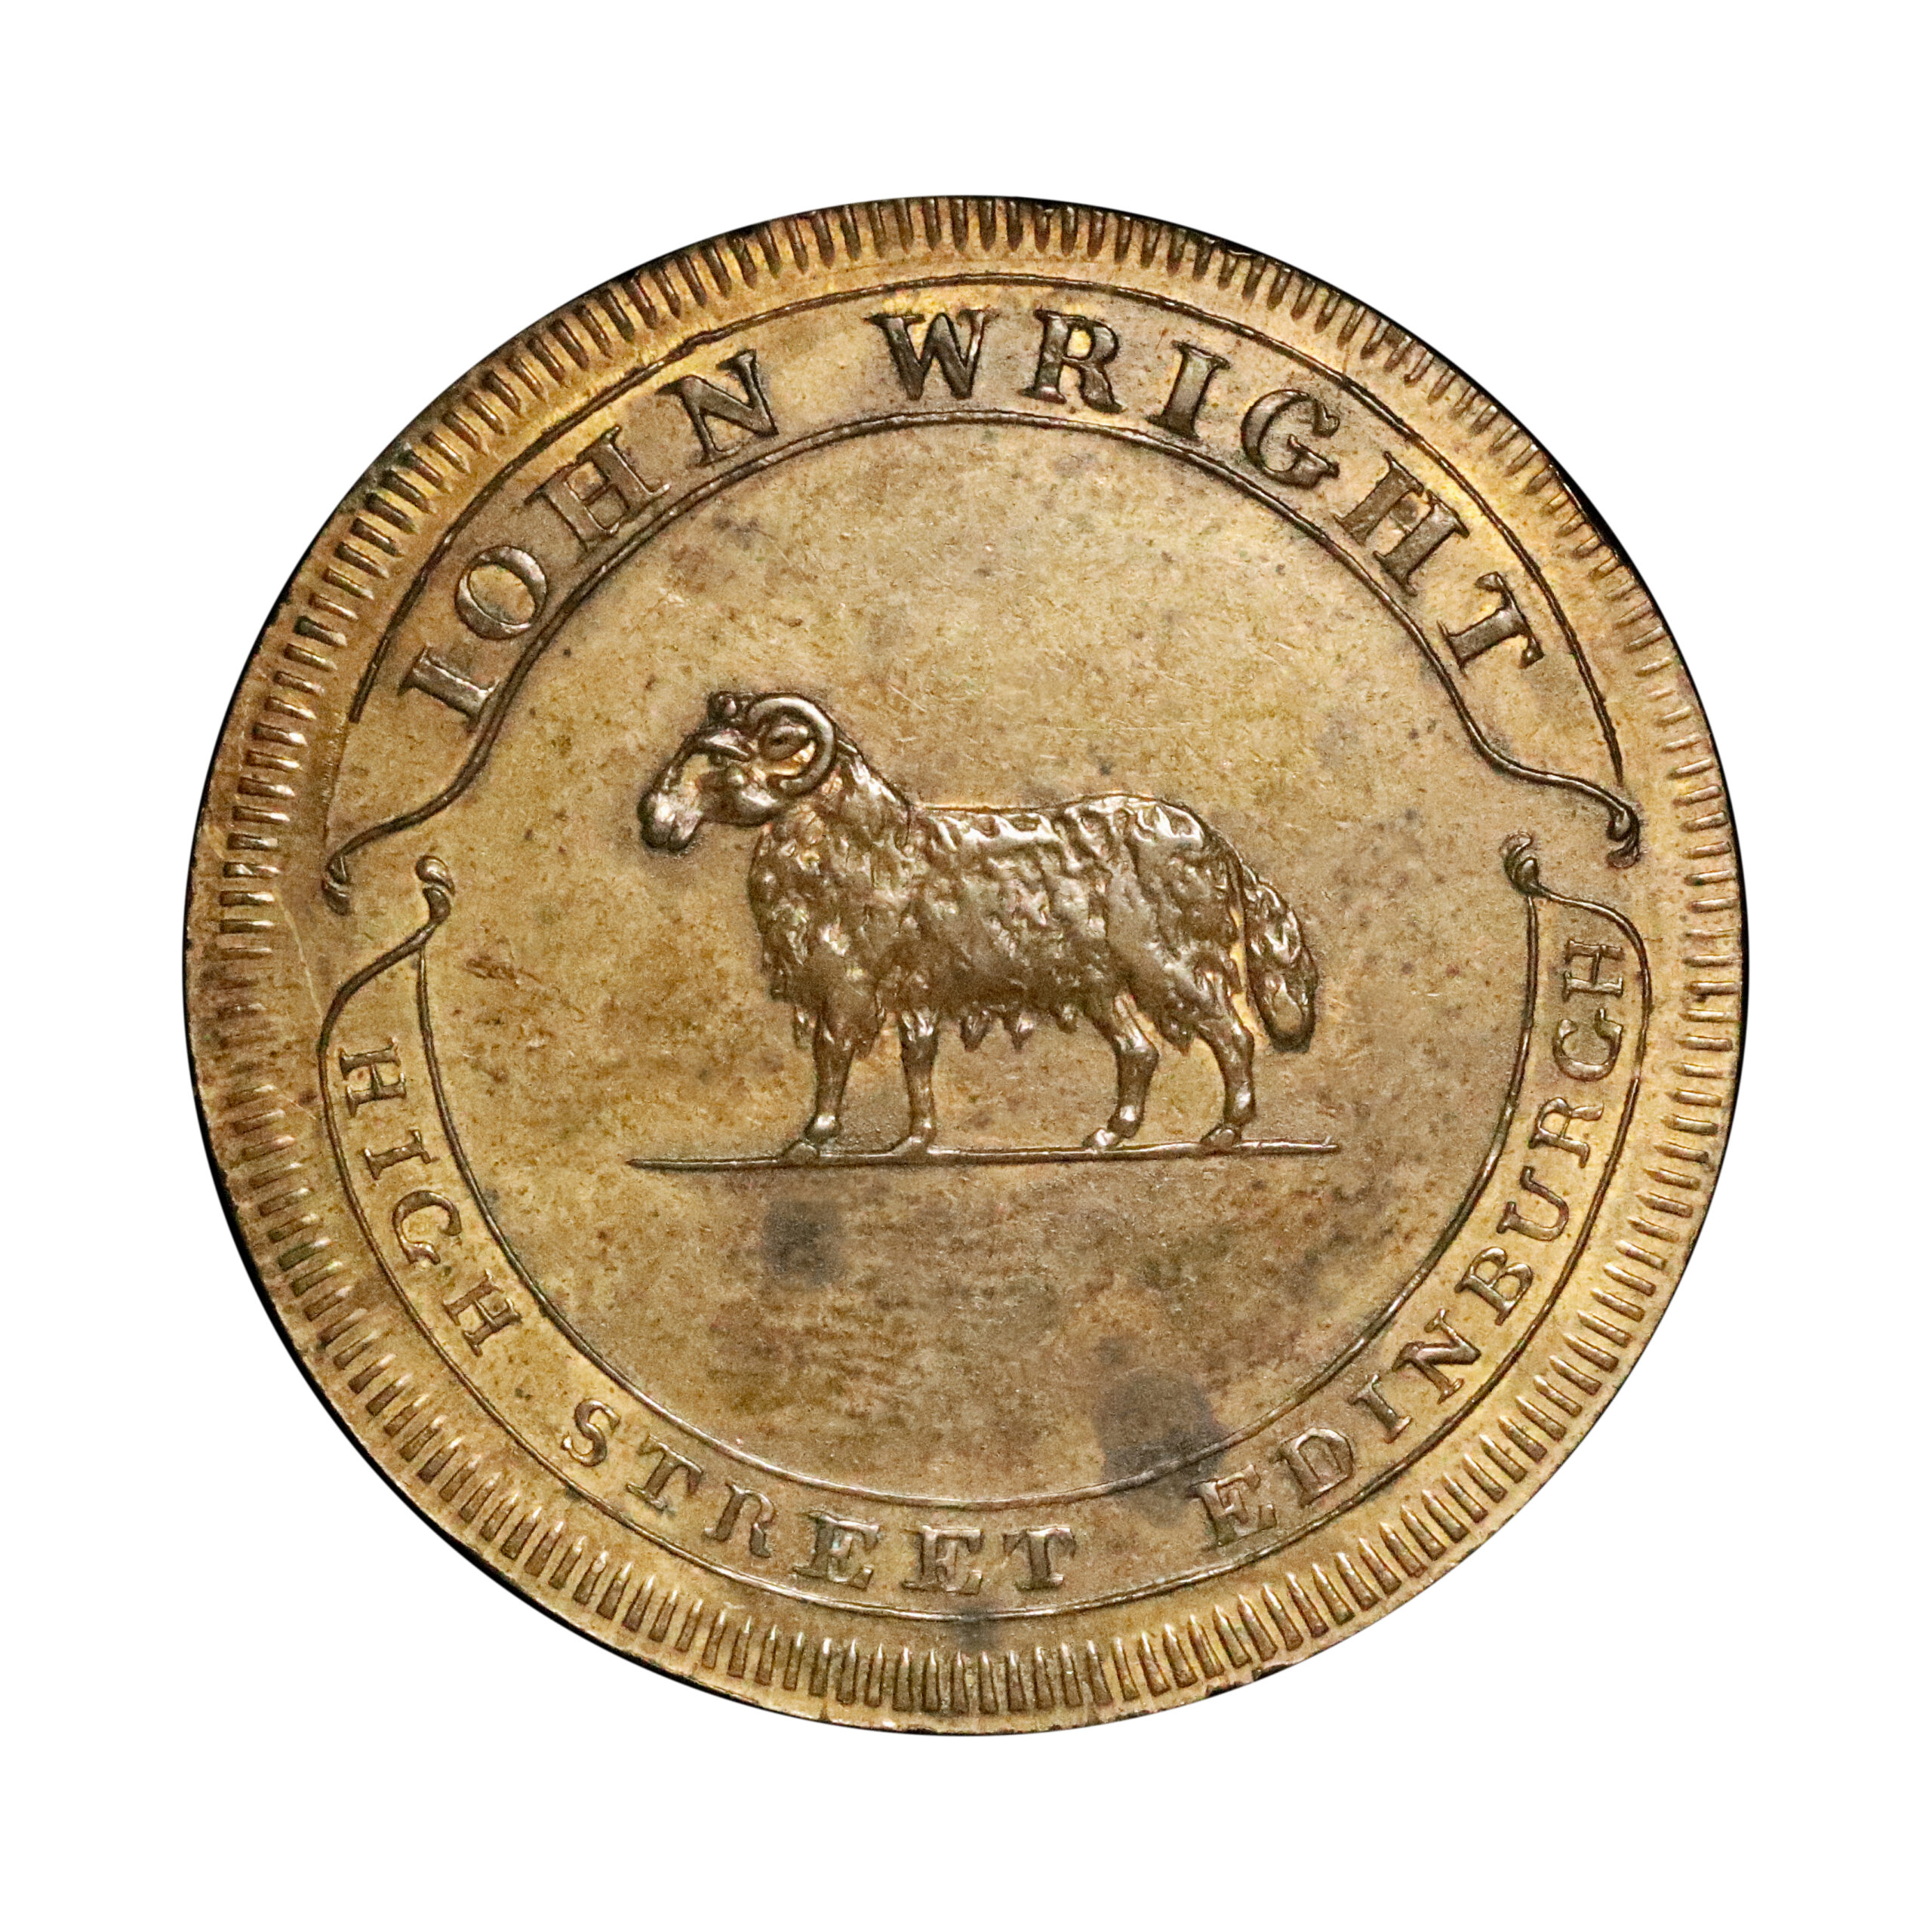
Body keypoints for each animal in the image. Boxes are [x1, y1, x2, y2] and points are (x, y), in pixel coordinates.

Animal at [639, 692, 1317, 1159]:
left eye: (719, 756)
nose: (653, 818)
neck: (861, 842)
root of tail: (1214, 844)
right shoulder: (917, 987)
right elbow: (916, 1060)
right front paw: (914, 1141)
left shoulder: (852, 980)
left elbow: (833, 1054)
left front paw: (814, 1138)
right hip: (1100, 980)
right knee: (1140, 1052)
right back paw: (1109, 1135)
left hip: (1167, 962)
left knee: (1233, 1036)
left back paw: (1225, 1132)